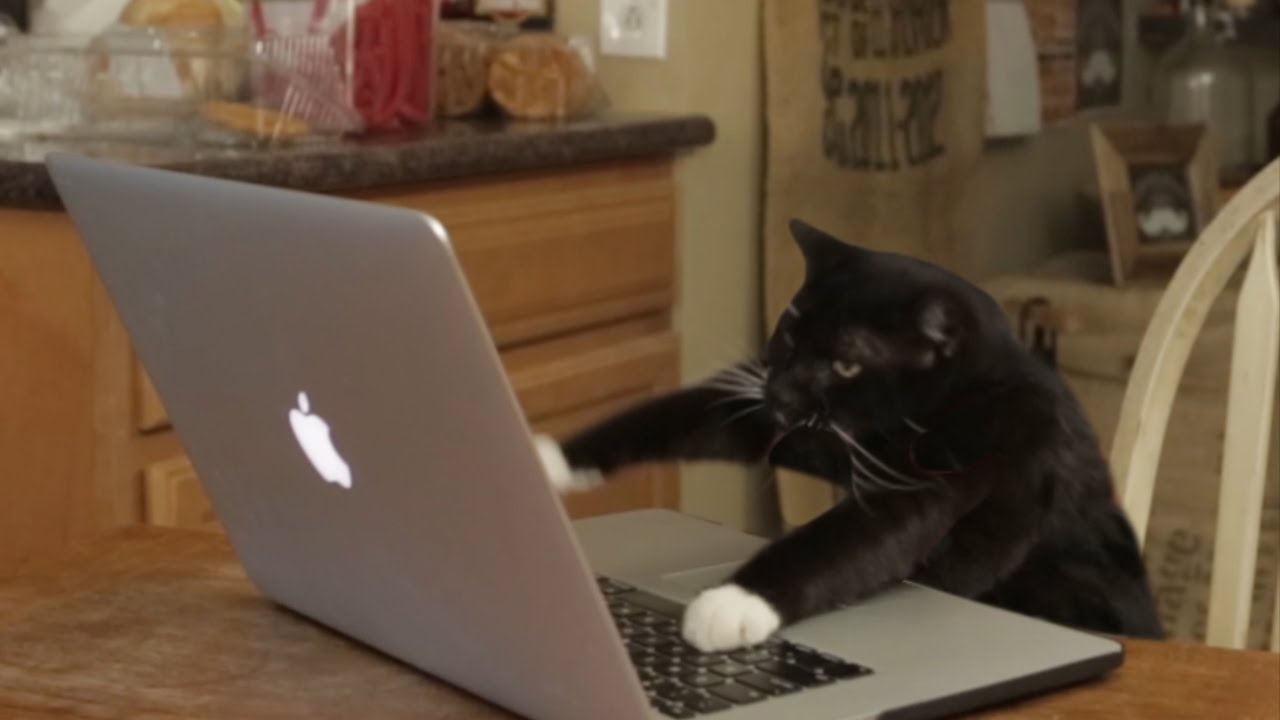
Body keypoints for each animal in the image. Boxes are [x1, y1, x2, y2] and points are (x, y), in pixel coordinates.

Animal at [535, 219, 1167, 650]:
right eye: (790, 334)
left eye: (845, 365)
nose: (782, 394)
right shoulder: (789, 423)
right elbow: (674, 414)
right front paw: (549, 459)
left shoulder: (945, 473)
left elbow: (838, 542)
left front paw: (729, 606)